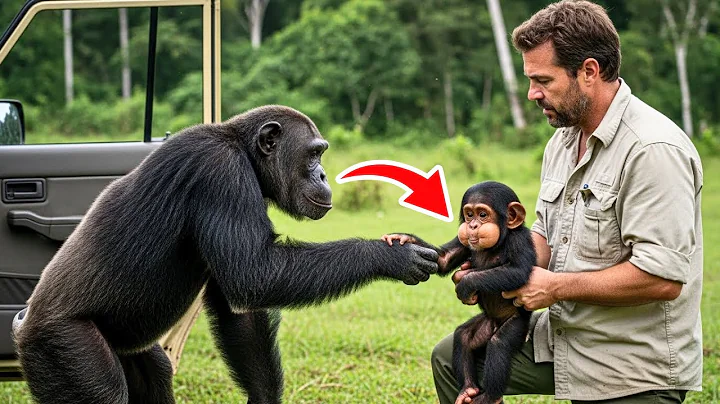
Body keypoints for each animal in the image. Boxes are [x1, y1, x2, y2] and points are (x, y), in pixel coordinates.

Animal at [12, 105, 439, 404]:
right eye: (314, 154)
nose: (322, 175)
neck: (243, 149)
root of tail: (22, 324)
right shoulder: (222, 174)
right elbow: (255, 274)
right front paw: (390, 255)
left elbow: (242, 308)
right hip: (63, 347)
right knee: (101, 389)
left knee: (156, 372)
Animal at [382, 181, 536, 404]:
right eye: (469, 214)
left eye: (483, 214)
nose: (472, 226)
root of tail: (495, 323)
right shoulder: (461, 242)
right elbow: (443, 259)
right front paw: (403, 237)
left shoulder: (519, 240)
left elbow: (518, 271)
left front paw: (465, 283)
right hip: (484, 325)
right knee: (463, 336)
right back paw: (468, 390)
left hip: (518, 323)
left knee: (499, 343)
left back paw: (489, 396)